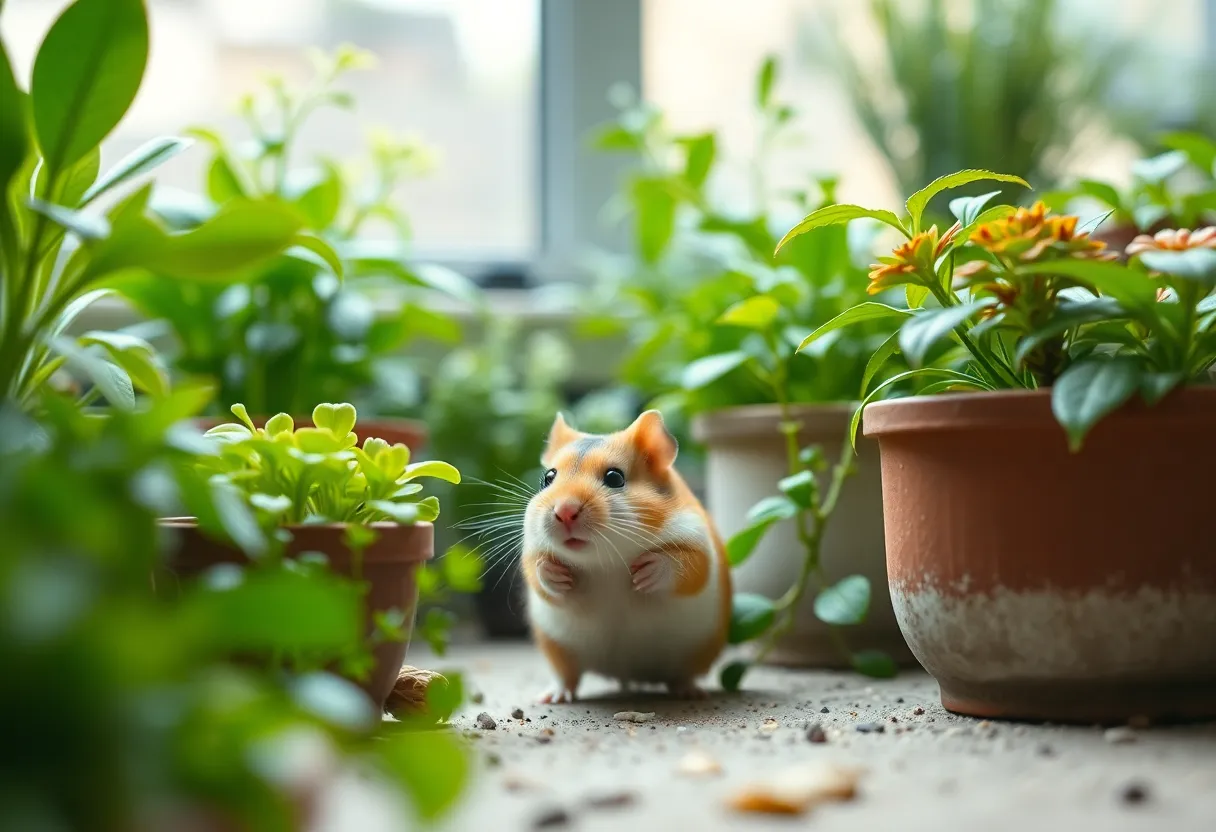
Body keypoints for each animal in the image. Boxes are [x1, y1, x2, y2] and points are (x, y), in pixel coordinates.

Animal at [521, 410, 731, 703]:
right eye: (547, 478)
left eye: (614, 478)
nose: (564, 511)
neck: (605, 561)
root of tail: (629, 673)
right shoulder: (532, 548)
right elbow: (537, 572)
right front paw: (558, 575)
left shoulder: (698, 544)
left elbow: (683, 566)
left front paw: (643, 574)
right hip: (556, 647)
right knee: (567, 676)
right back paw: (554, 696)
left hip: (697, 652)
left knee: (681, 677)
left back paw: (690, 692)